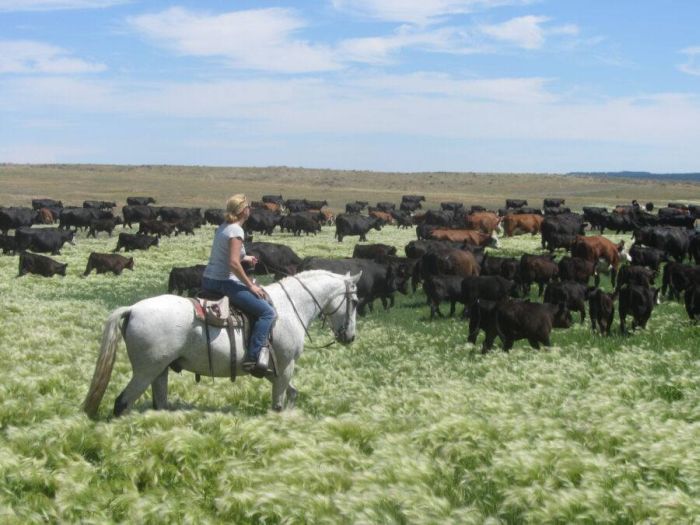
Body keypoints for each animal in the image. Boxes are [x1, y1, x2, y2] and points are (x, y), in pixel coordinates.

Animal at [83, 270, 360, 418]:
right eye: (355, 301)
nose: (350, 337)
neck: (288, 308)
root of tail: (132, 309)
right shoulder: (285, 365)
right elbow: (278, 403)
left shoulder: (274, 369)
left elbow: (292, 393)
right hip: (145, 371)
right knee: (122, 403)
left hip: (159, 371)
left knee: (159, 404)